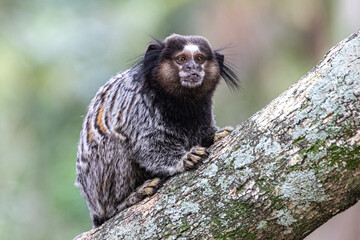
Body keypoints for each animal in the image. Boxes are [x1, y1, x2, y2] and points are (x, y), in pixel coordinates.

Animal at [75, 33, 239, 227]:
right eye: (181, 59)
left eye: (199, 59)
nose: (192, 68)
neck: (180, 103)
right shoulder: (140, 105)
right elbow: (149, 146)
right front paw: (184, 159)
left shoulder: (203, 108)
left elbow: (206, 132)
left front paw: (217, 135)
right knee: (115, 143)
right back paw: (126, 200)